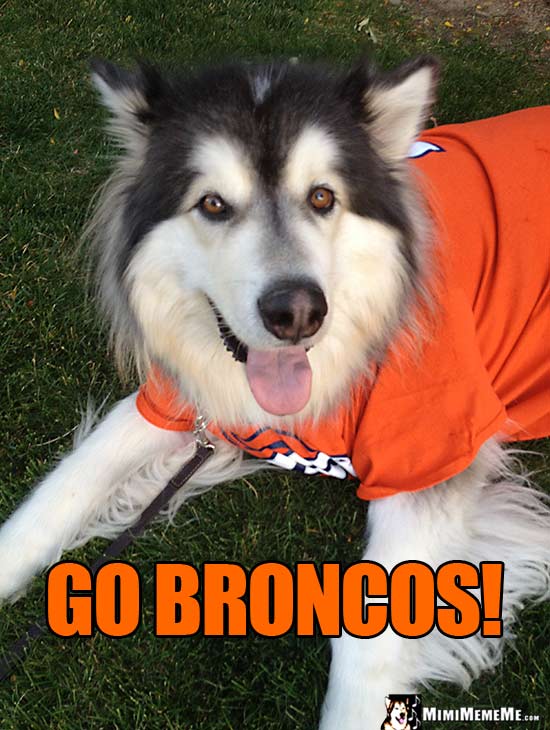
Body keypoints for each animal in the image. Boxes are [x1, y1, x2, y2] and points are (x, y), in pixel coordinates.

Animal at [1, 54, 550, 724]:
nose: (297, 312)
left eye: (322, 196)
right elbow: (63, 487)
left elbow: (366, 644)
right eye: (212, 204)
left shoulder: (429, 451)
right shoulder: (179, 401)